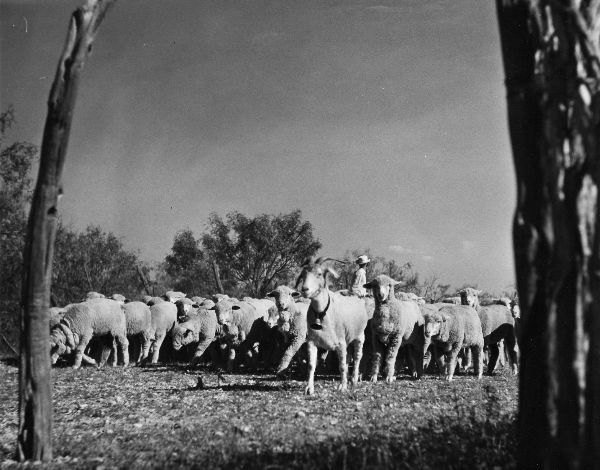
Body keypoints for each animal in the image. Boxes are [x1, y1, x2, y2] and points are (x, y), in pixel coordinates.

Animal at [296, 258, 370, 392]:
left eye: (319, 274)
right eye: (303, 274)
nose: (304, 289)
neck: (321, 313)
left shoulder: (340, 343)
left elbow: (341, 366)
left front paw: (343, 387)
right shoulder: (312, 342)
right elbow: (311, 365)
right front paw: (309, 388)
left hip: (359, 336)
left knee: (357, 358)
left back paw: (354, 380)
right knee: (348, 358)